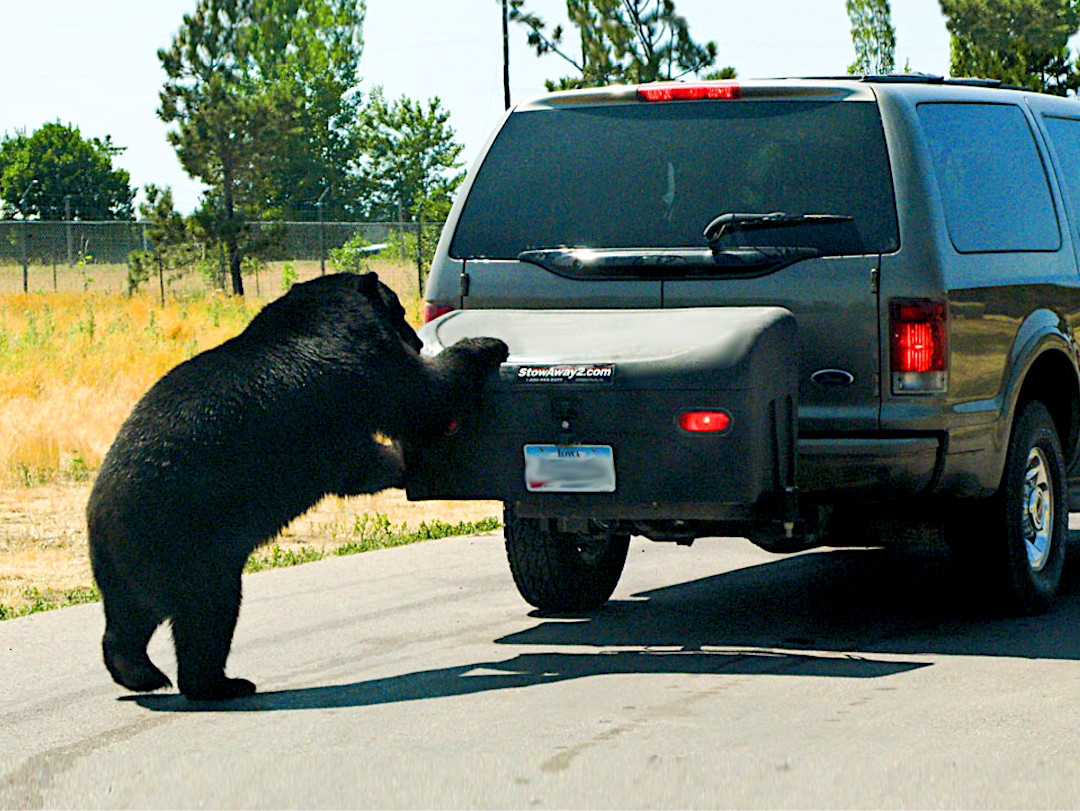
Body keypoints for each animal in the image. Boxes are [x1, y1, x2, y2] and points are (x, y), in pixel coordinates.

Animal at [86, 271, 507, 699]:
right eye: (401, 310)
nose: (418, 341)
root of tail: (102, 515)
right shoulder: (356, 369)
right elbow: (418, 396)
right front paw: (485, 345)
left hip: (126, 564)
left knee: (129, 617)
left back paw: (137, 670)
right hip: (191, 541)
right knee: (208, 610)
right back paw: (219, 682)